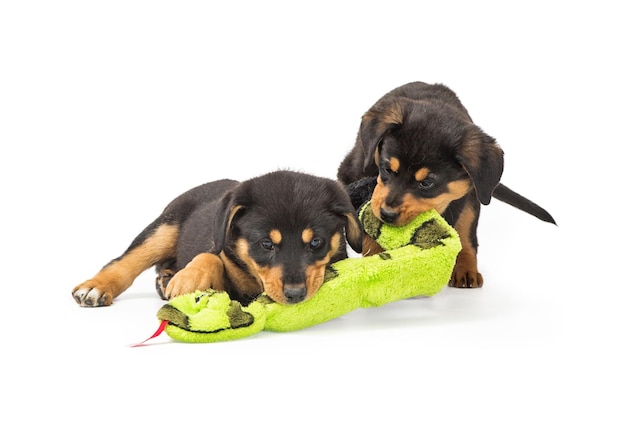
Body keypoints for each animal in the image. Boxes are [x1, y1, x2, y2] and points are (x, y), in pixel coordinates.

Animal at [73, 170, 364, 306]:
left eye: (316, 242)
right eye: (266, 244)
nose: (295, 295)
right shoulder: (222, 254)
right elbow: (210, 256)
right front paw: (188, 279)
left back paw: (165, 278)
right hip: (165, 228)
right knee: (125, 261)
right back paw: (96, 287)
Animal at [338, 81, 552, 288]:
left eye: (427, 183)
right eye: (387, 169)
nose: (387, 214)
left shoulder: (462, 196)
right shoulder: (351, 174)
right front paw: (377, 258)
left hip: (475, 195)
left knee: (467, 234)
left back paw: (466, 270)